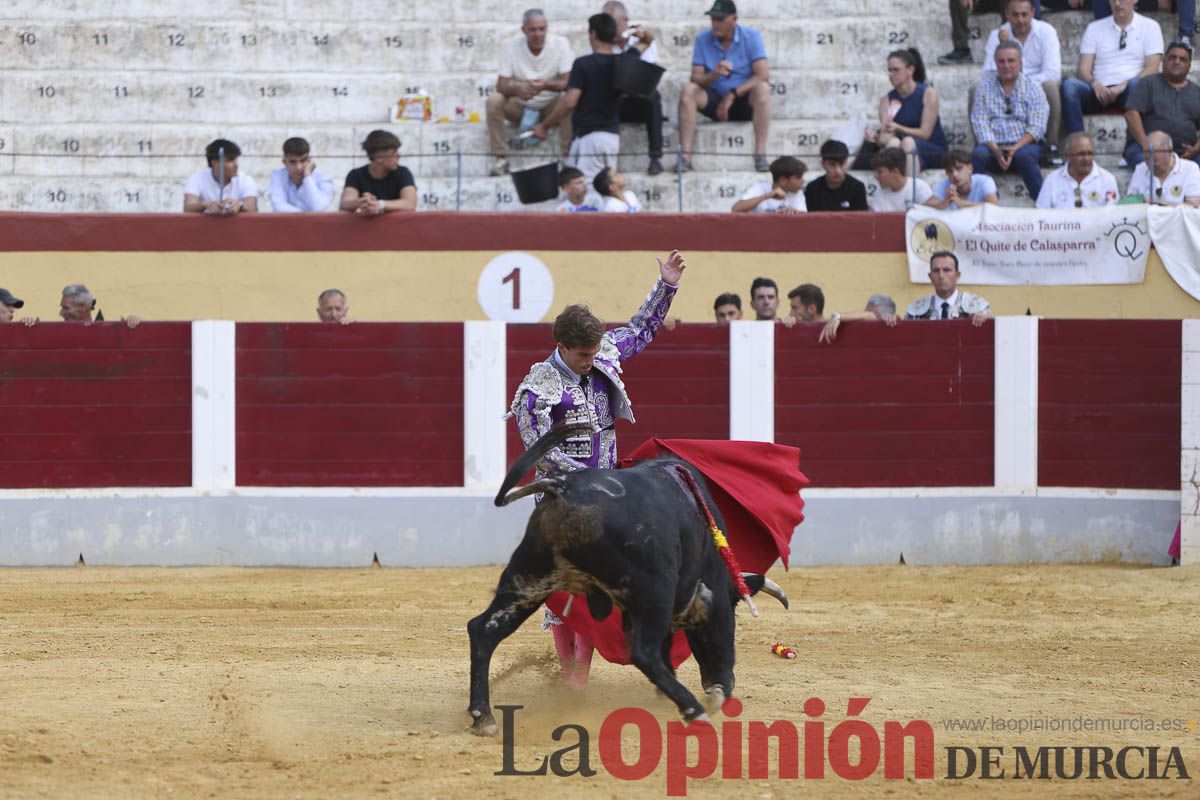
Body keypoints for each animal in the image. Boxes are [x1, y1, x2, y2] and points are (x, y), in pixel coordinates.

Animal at [463, 424, 782, 738]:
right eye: (733, 616)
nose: (723, 685)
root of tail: (564, 487)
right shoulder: (696, 597)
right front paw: (711, 695)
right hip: (654, 590)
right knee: (644, 653)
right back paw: (695, 711)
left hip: (530, 576)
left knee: (484, 629)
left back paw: (483, 718)